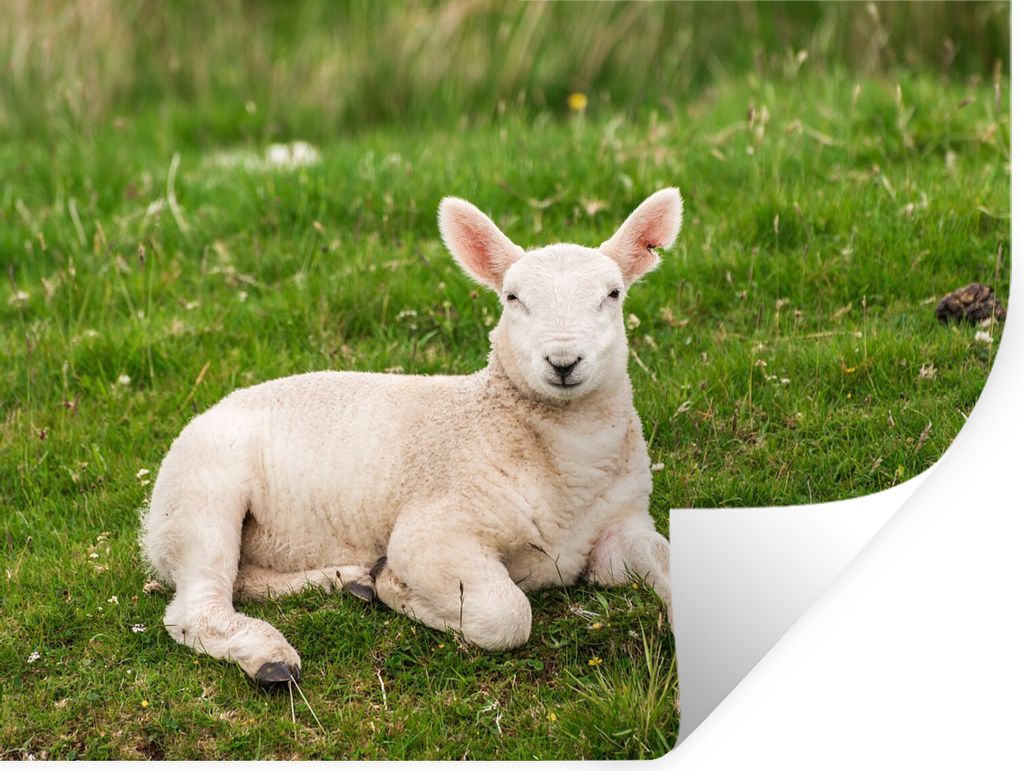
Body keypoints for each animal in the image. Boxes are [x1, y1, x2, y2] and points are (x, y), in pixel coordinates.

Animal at [140, 188, 681, 689]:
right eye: (513, 298)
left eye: (613, 294)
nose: (563, 362)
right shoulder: (433, 530)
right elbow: (506, 614)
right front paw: (397, 588)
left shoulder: (623, 527)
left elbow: (667, 562)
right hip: (201, 495)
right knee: (197, 605)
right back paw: (271, 656)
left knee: (242, 580)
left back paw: (344, 580)